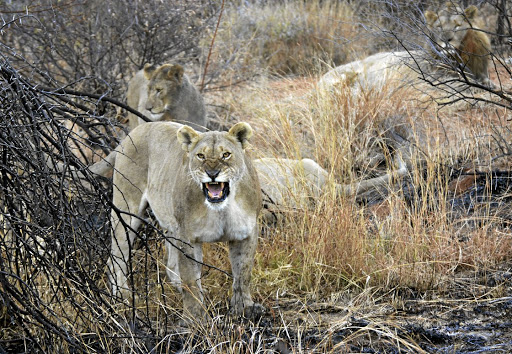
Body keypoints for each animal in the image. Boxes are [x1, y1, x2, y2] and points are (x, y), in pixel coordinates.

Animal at [106, 120, 262, 320]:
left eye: (226, 154)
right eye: (200, 156)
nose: (212, 173)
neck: (222, 209)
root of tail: (132, 133)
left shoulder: (246, 233)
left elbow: (243, 273)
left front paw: (244, 308)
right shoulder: (188, 237)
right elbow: (190, 278)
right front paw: (194, 318)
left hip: (171, 225)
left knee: (171, 264)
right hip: (126, 209)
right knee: (116, 258)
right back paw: (123, 297)